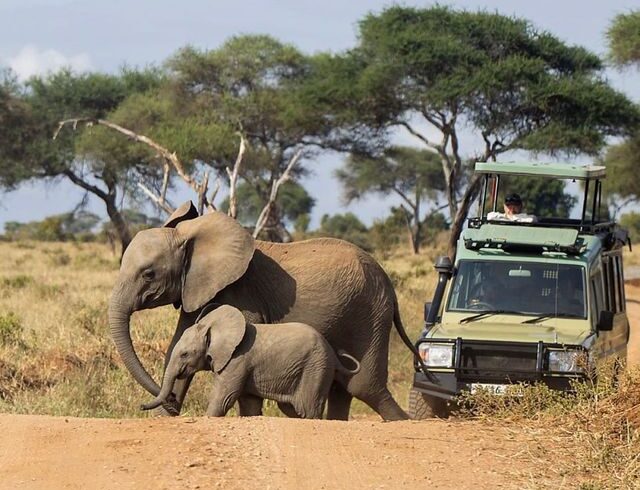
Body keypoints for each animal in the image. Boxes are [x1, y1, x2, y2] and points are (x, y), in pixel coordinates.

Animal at [142, 306, 360, 418]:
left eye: (185, 354)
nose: (141, 407)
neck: (213, 326)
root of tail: (334, 356)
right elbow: (249, 403)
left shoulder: (237, 361)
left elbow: (224, 398)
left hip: (316, 368)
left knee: (307, 408)